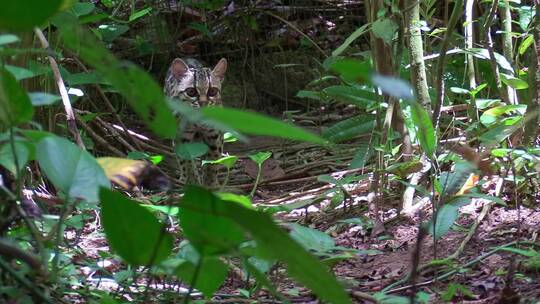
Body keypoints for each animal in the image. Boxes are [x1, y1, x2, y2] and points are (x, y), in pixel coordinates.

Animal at [162, 57, 226, 188]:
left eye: (212, 91)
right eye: (191, 92)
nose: (203, 103)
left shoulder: (215, 136)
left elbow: (212, 161)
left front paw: (210, 184)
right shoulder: (181, 136)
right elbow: (186, 162)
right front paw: (192, 182)